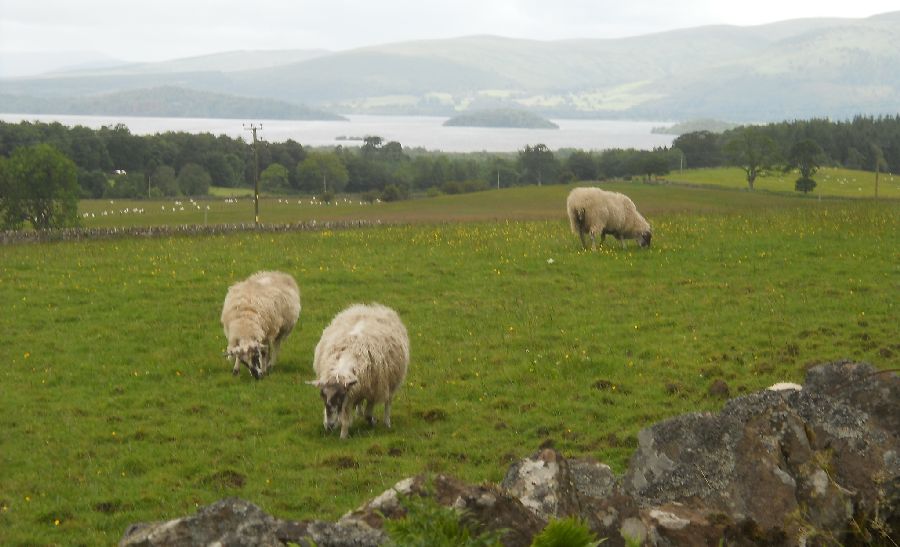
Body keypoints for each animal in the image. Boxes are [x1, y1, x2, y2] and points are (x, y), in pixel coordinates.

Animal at [308, 304, 410, 440]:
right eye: (322, 396)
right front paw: (343, 435)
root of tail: (371, 308)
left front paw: (372, 421)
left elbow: (368, 413)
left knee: (388, 401)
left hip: (391, 380)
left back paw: (387, 422)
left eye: (340, 397)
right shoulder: (351, 393)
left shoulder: (373, 390)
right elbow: (347, 415)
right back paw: (358, 412)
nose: (329, 426)